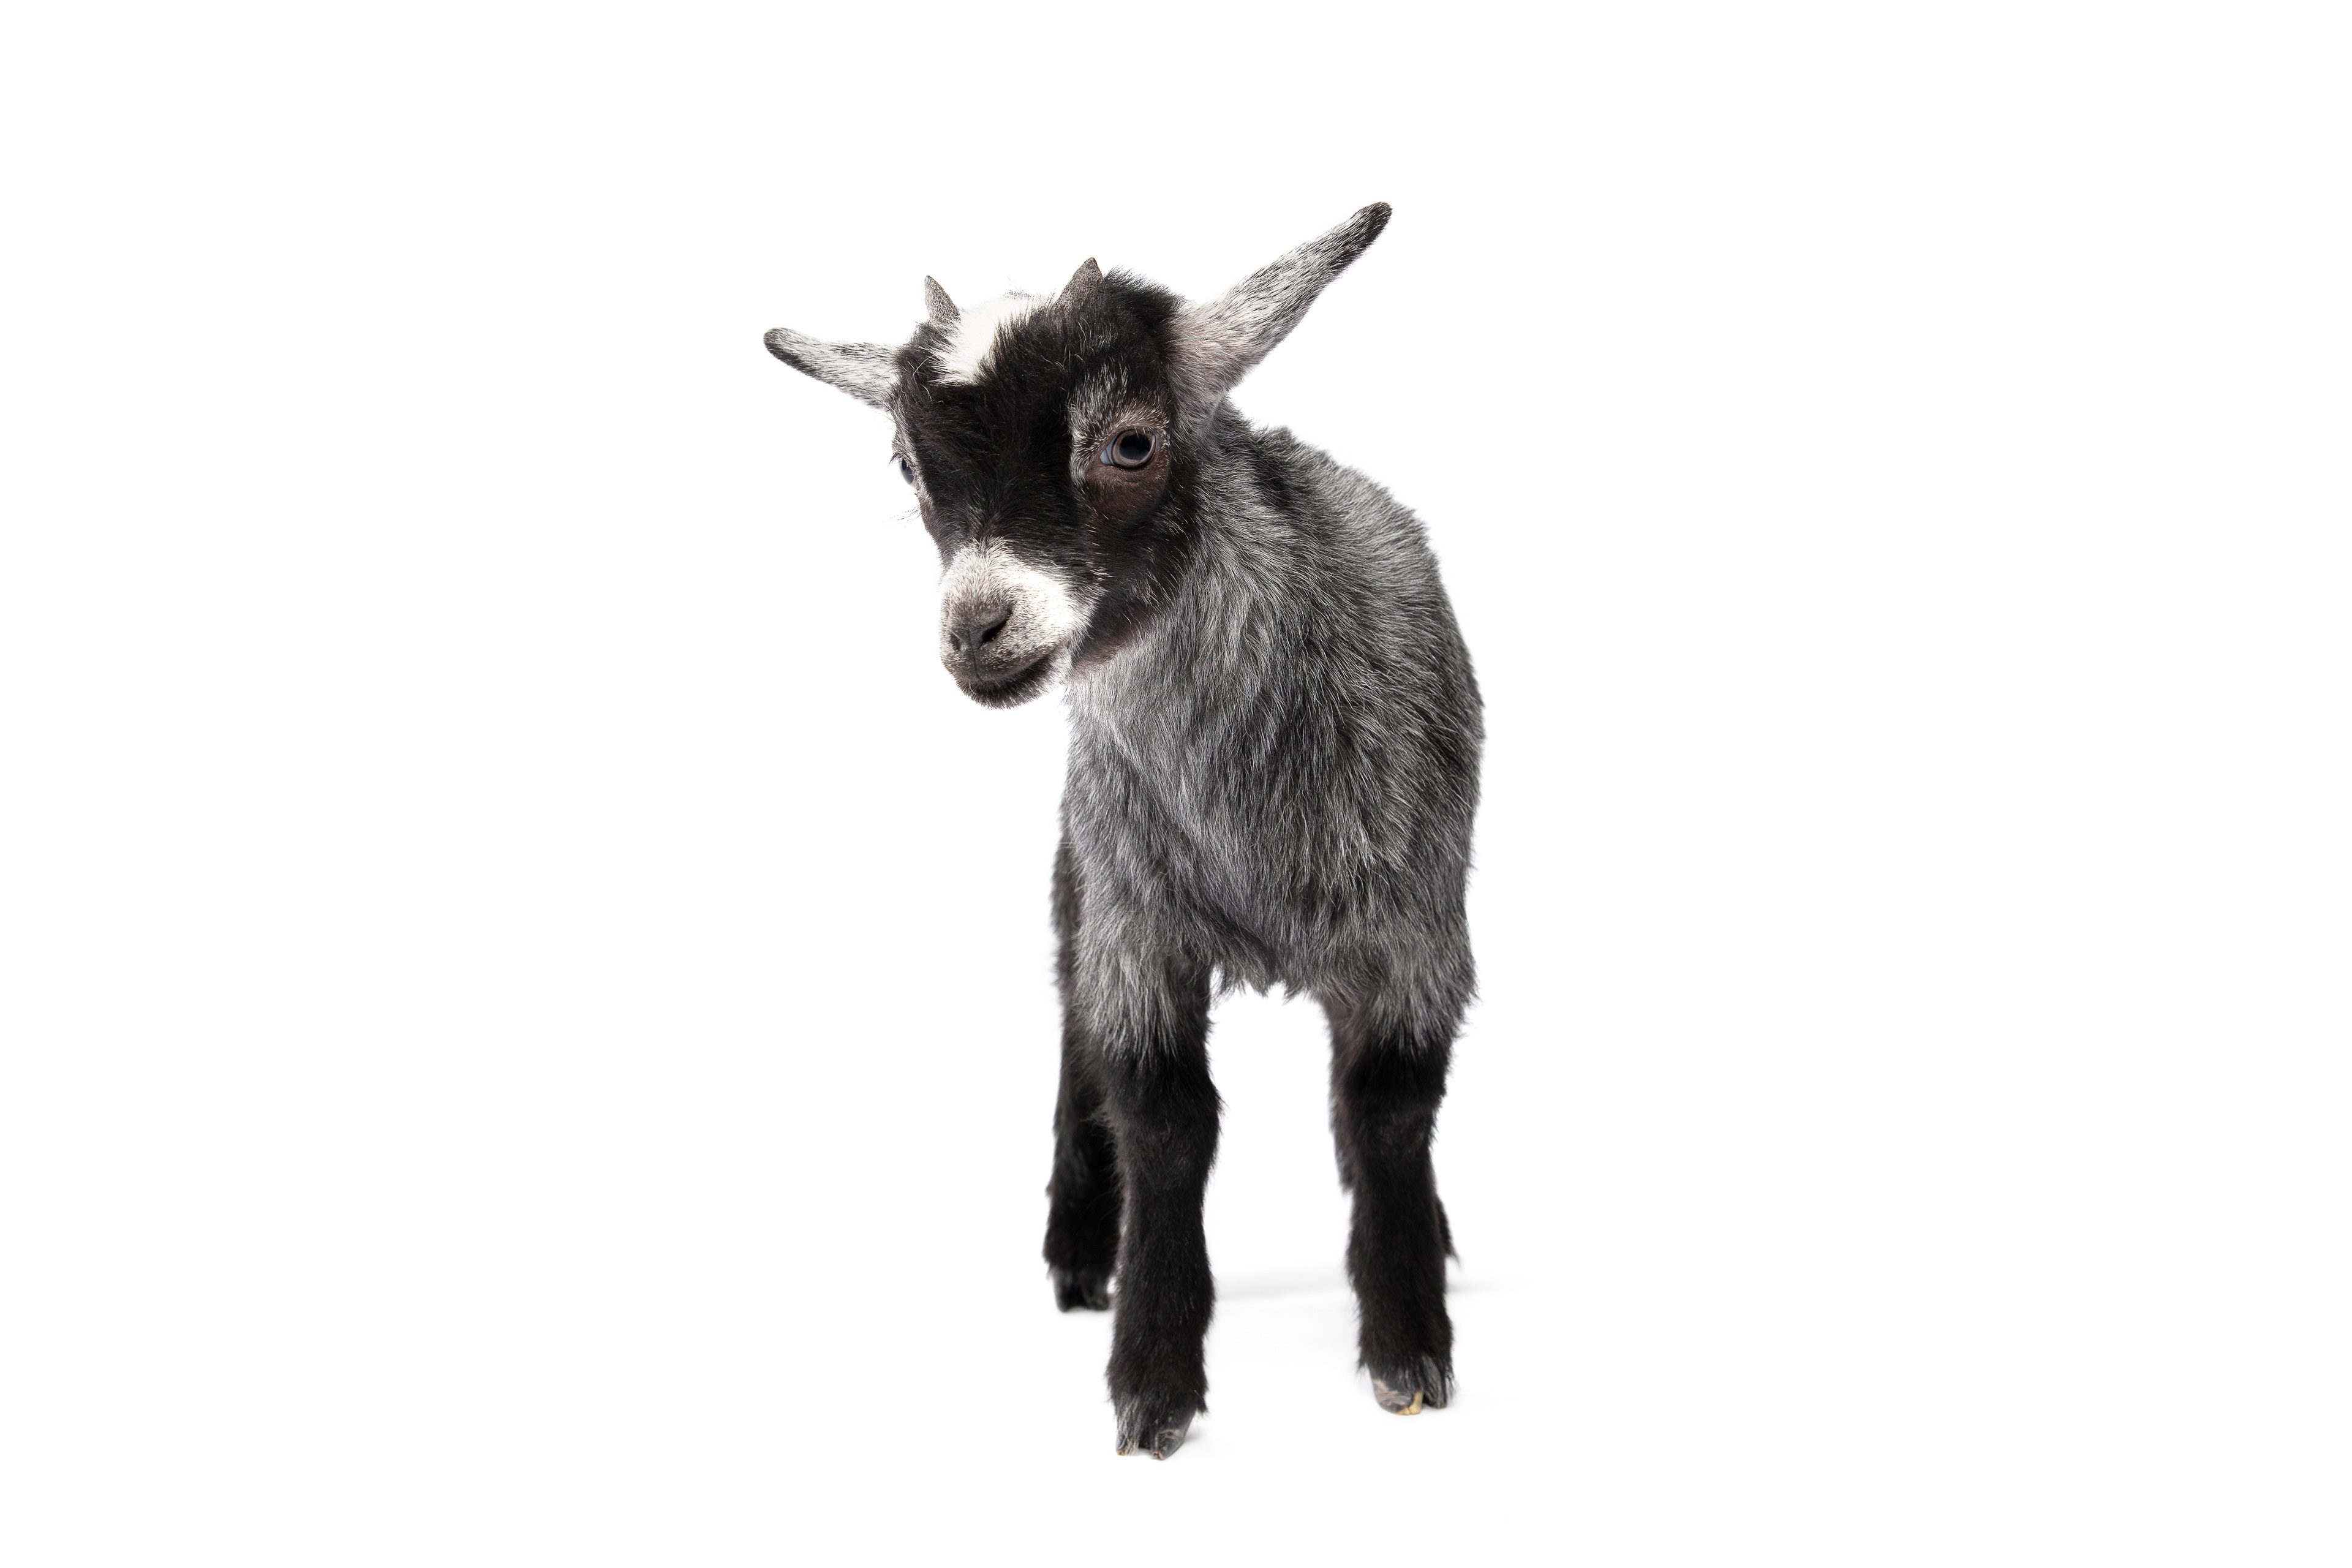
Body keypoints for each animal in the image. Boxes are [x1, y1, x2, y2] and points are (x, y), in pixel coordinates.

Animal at [764, 205, 1481, 1458]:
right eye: (908, 465)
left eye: (1132, 443)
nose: (977, 628)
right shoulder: (1137, 932)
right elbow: (1162, 1121)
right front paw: (1152, 1374)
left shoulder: (1416, 939)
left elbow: (1388, 1116)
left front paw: (1406, 1341)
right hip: (1080, 870)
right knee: (1071, 1026)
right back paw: (1076, 1247)